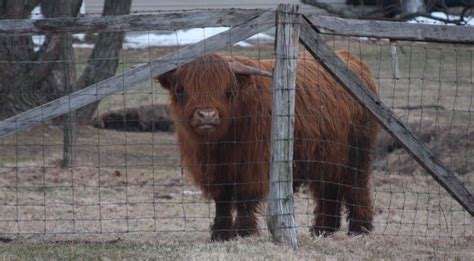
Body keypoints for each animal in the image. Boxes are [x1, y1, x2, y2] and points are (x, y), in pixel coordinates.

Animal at [157, 50, 380, 240]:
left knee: (356, 187)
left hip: (357, 153)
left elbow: (245, 200)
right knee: (329, 190)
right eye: (181, 90)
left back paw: (359, 228)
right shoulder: (216, 171)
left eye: (228, 90)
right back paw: (323, 229)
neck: (220, 144)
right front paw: (220, 234)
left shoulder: (252, 166)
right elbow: (222, 201)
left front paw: (245, 232)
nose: (207, 115)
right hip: (327, 157)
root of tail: (350, 58)